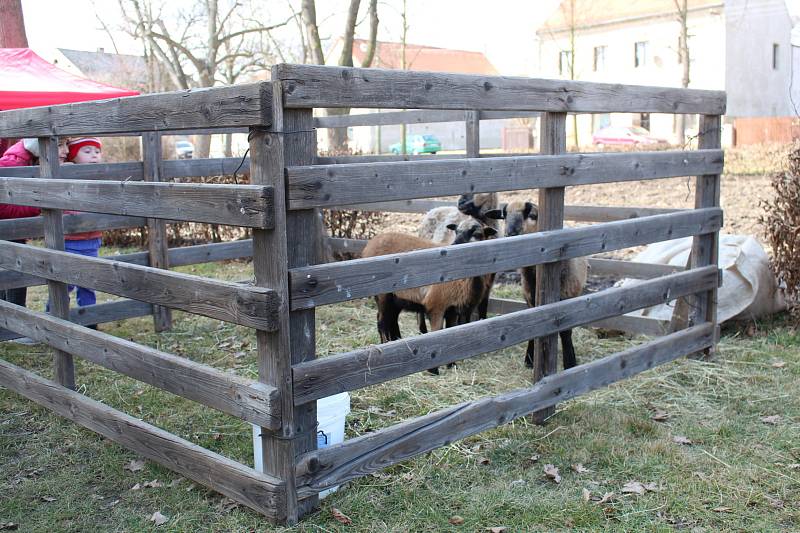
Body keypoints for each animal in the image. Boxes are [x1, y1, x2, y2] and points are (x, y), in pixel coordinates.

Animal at [360, 217, 496, 374]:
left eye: (477, 234)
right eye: (456, 231)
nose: (454, 246)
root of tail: (369, 244)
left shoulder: (452, 310)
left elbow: (451, 332)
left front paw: (452, 365)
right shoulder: (436, 306)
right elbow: (436, 333)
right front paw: (433, 370)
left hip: (396, 299)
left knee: (391, 319)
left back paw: (397, 344)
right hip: (383, 295)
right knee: (382, 321)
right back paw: (385, 347)